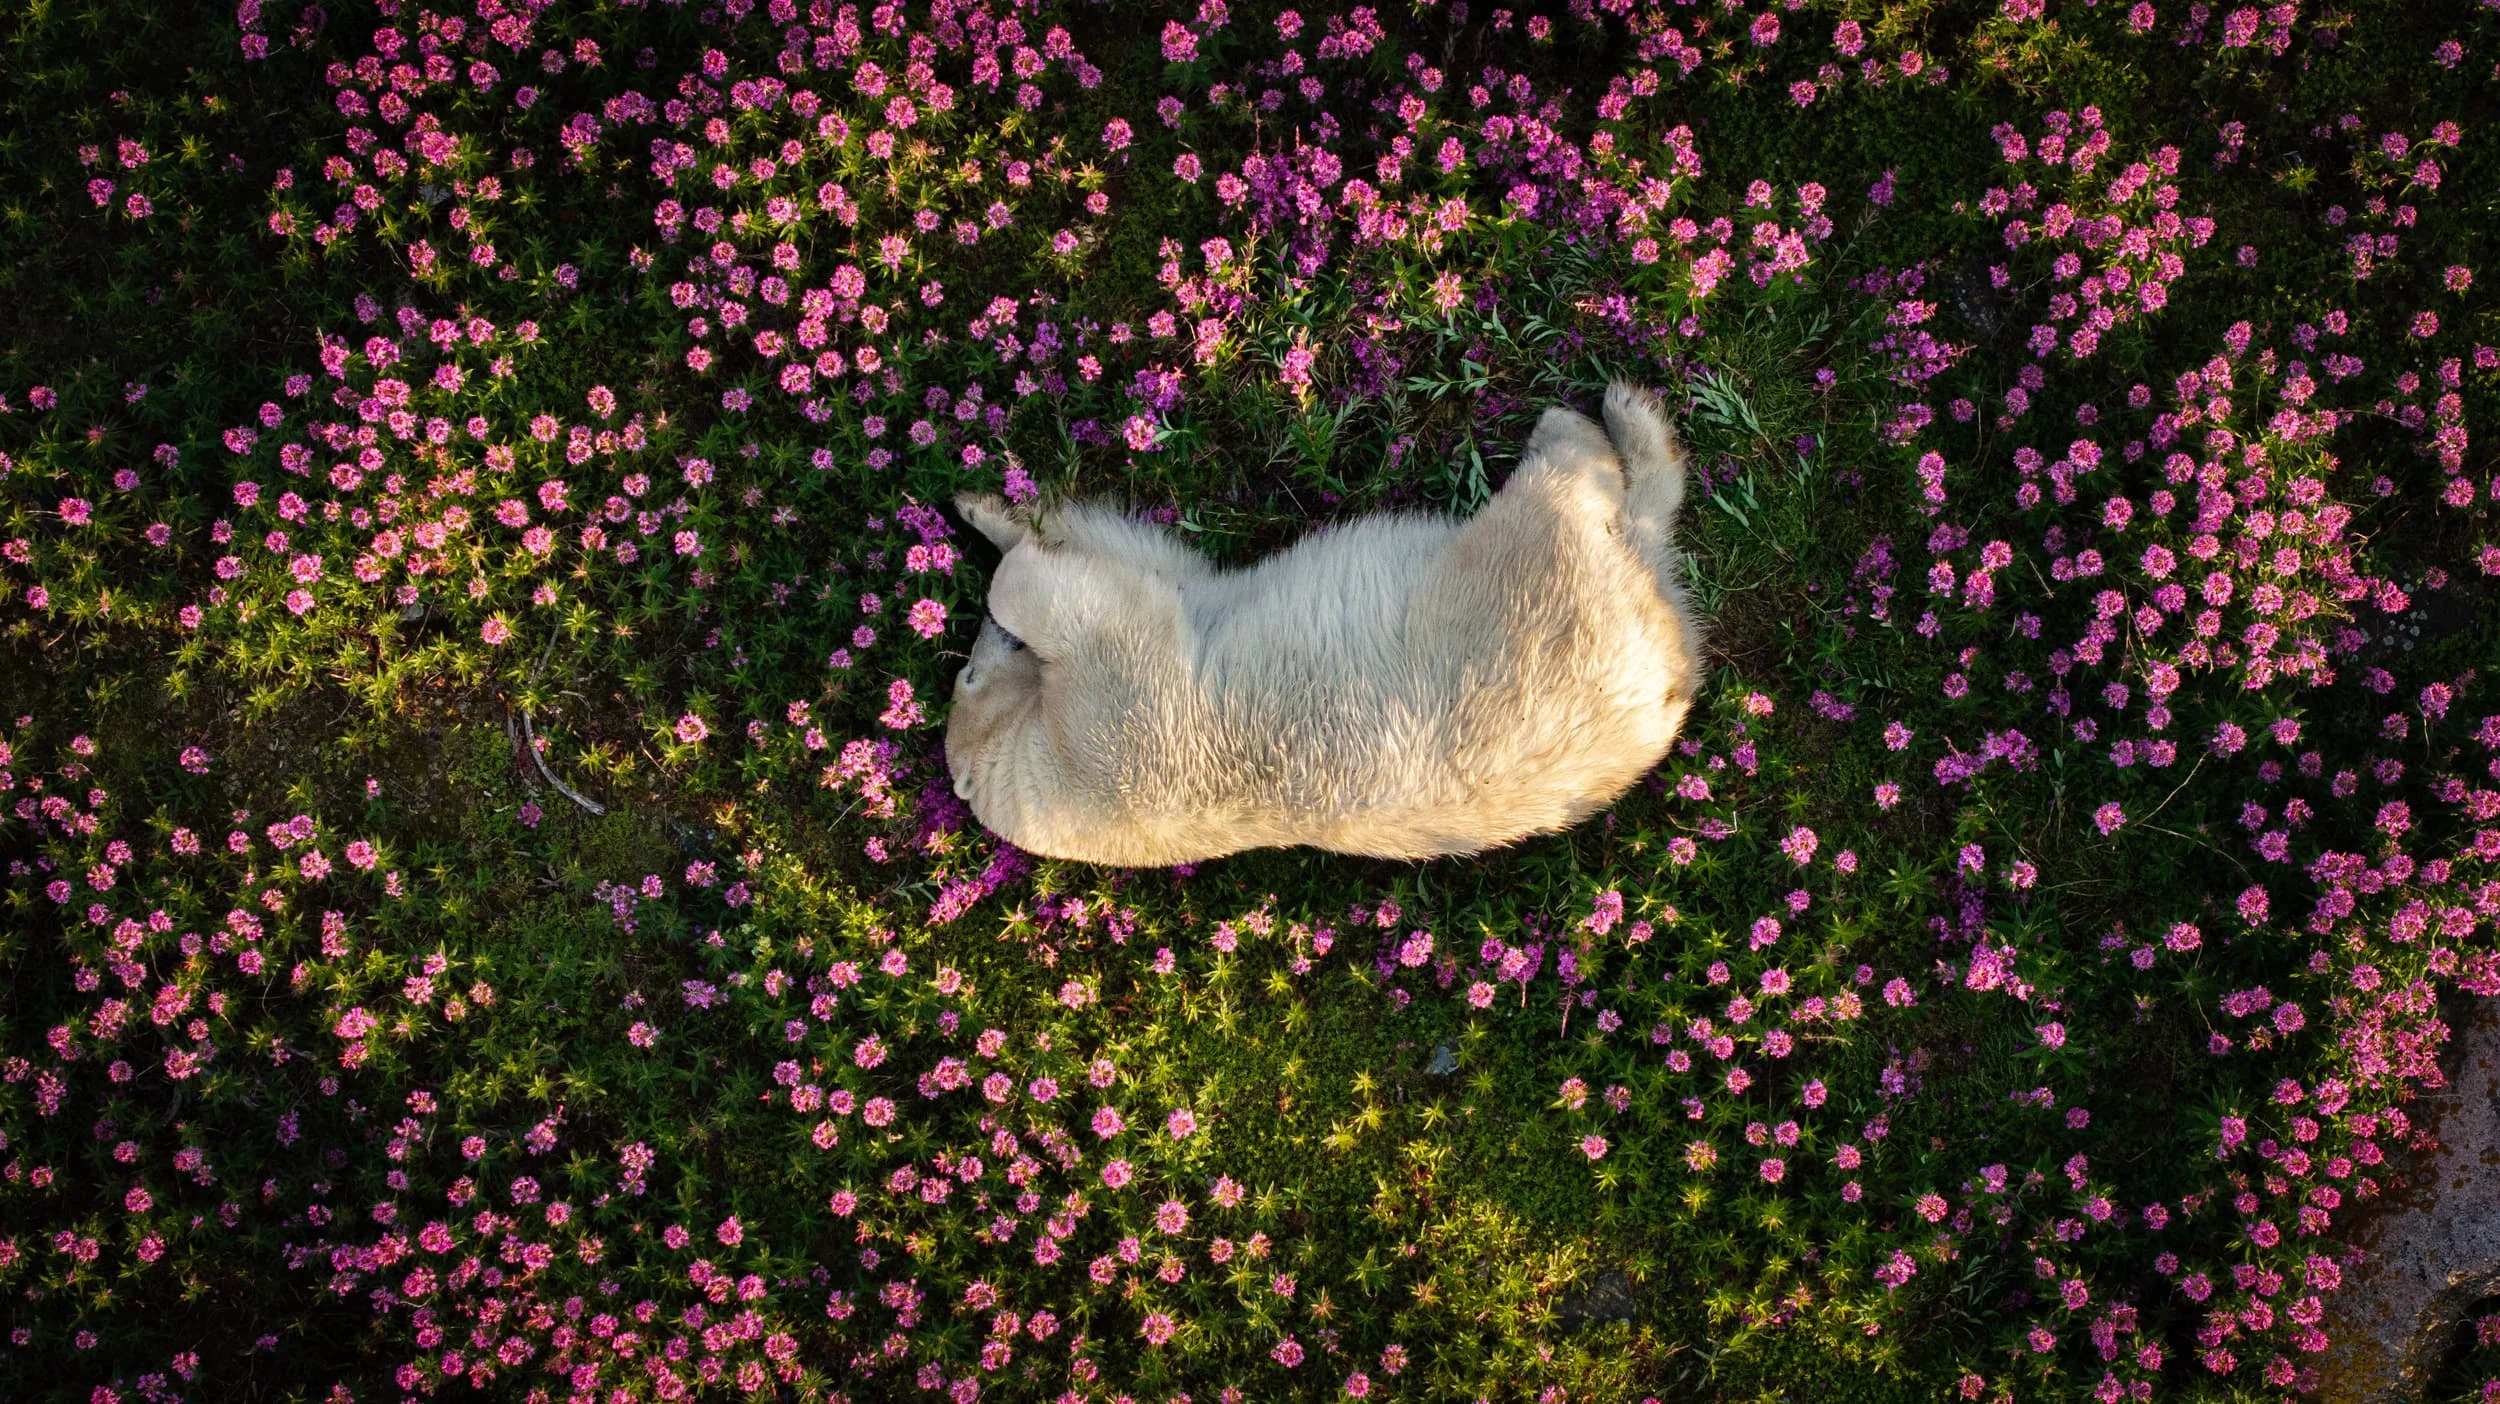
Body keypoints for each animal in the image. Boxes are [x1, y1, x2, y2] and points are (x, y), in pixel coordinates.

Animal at [945, 382, 1710, 864]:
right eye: (968, 674)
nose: (978, 641)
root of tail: (1661, 682)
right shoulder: (1115, 737)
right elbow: (1088, 597)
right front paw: (1001, 533)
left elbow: (1147, 563)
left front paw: (988, 510)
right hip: (1528, 592)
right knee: (1573, 499)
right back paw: (1594, 422)